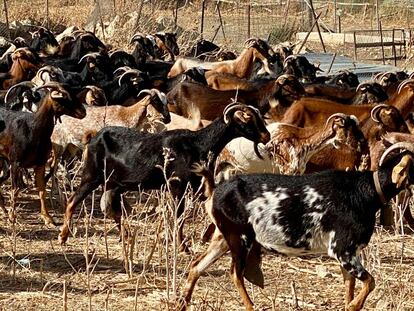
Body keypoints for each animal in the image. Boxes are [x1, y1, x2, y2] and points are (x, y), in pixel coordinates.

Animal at [59, 103, 272, 250]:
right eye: (248, 119)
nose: (266, 136)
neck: (198, 143)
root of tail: (93, 138)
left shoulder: (195, 185)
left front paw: (205, 236)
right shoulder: (176, 185)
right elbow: (178, 217)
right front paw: (183, 247)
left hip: (114, 183)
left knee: (111, 207)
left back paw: (126, 236)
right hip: (92, 175)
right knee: (72, 201)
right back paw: (63, 236)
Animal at [179, 142, 414, 311]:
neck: (364, 191)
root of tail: (215, 190)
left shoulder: (348, 254)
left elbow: (350, 286)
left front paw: (351, 305)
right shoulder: (341, 249)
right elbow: (371, 281)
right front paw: (356, 305)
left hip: (223, 238)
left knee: (196, 266)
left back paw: (182, 303)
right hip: (240, 238)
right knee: (235, 273)